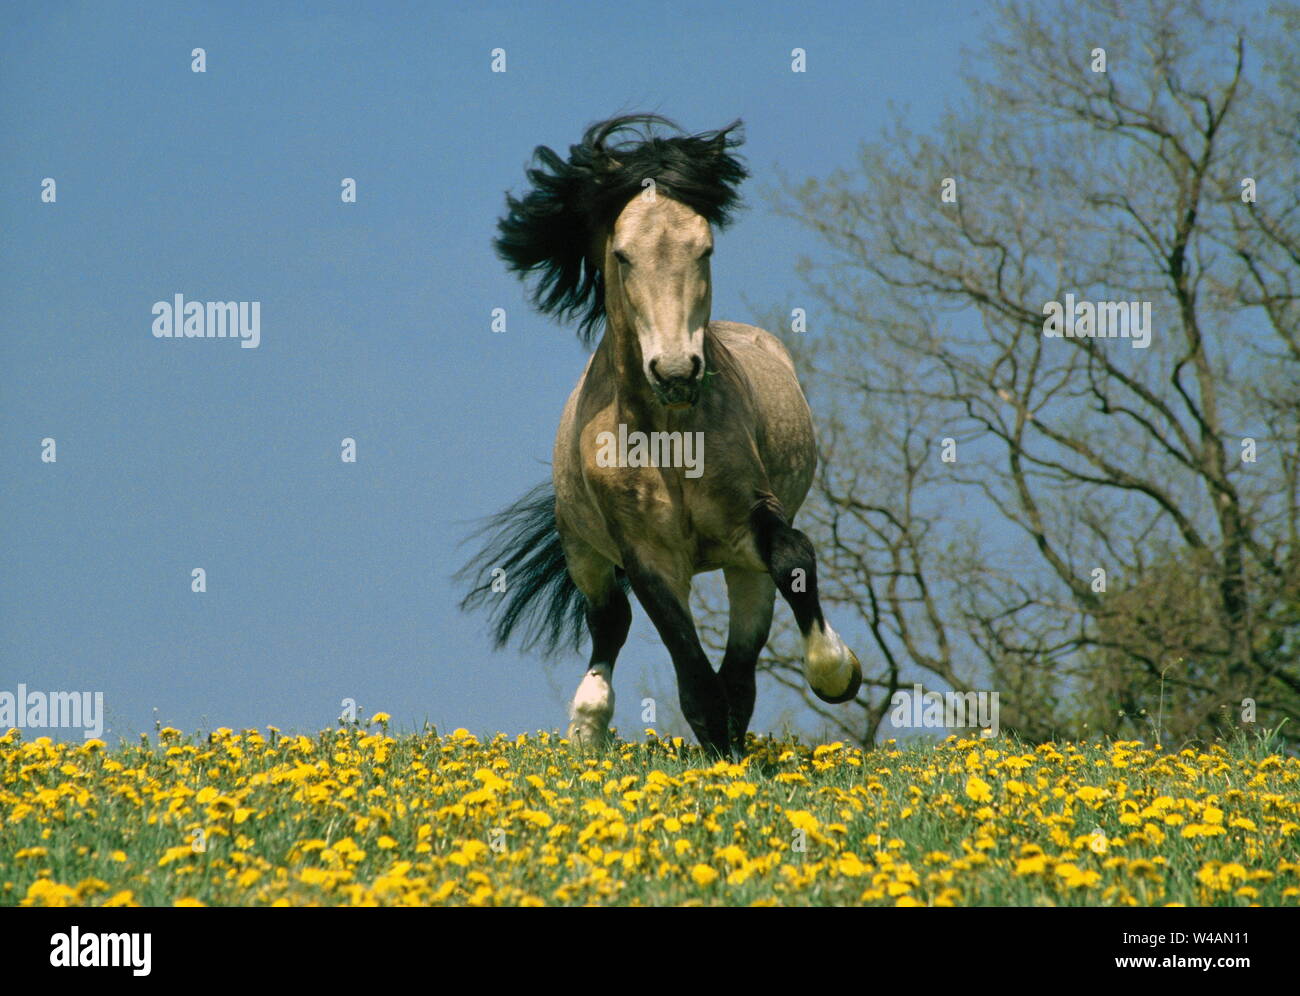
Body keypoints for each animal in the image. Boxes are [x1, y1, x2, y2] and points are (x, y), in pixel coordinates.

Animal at [460, 114, 861, 757]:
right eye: (623, 255)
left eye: (706, 248)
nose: (676, 372)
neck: (671, 440)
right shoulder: (646, 554)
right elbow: (686, 663)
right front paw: (714, 744)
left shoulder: (751, 516)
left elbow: (793, 558)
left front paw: (835, 672)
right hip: (582, 549)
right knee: (610, 623)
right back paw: (587, 725)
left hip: (737, 565)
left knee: (745, 646)